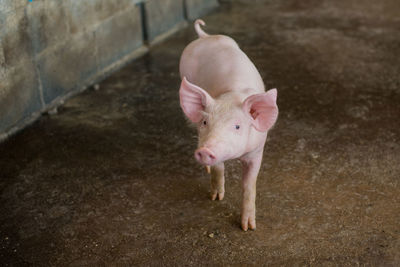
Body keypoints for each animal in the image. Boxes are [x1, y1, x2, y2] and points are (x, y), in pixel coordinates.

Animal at [179, 19, 278, 232]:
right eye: (205, 122)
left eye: (237, 126)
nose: (205, 150)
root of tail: (205, 37)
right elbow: (218, 169)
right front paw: (216, 198)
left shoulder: (257, 150)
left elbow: (249, 185)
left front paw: (248, 227)